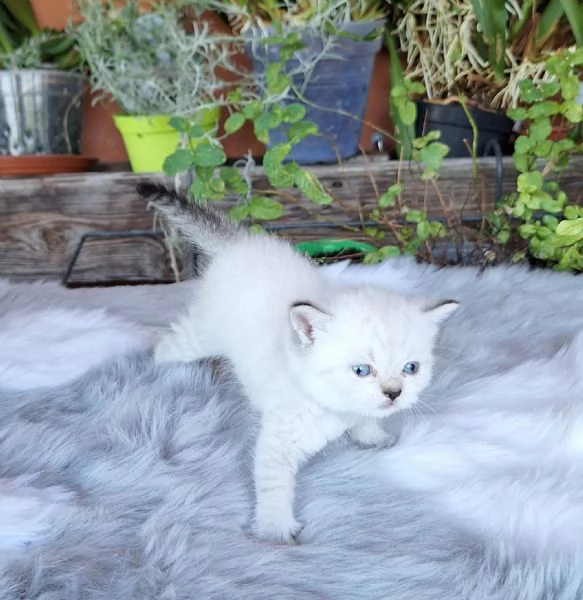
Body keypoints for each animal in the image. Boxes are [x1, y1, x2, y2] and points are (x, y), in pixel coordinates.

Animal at [138, 183, 460, 544]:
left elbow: (365, 418)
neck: (329, 402)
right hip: (202, 334)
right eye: (361, 370)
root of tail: (239, 243)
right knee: (168, 344)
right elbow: (274, 486)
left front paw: (371, 435)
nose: (394, 393)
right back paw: (157, 365)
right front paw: (275, 530)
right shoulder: (277, 442)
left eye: (411, 368)